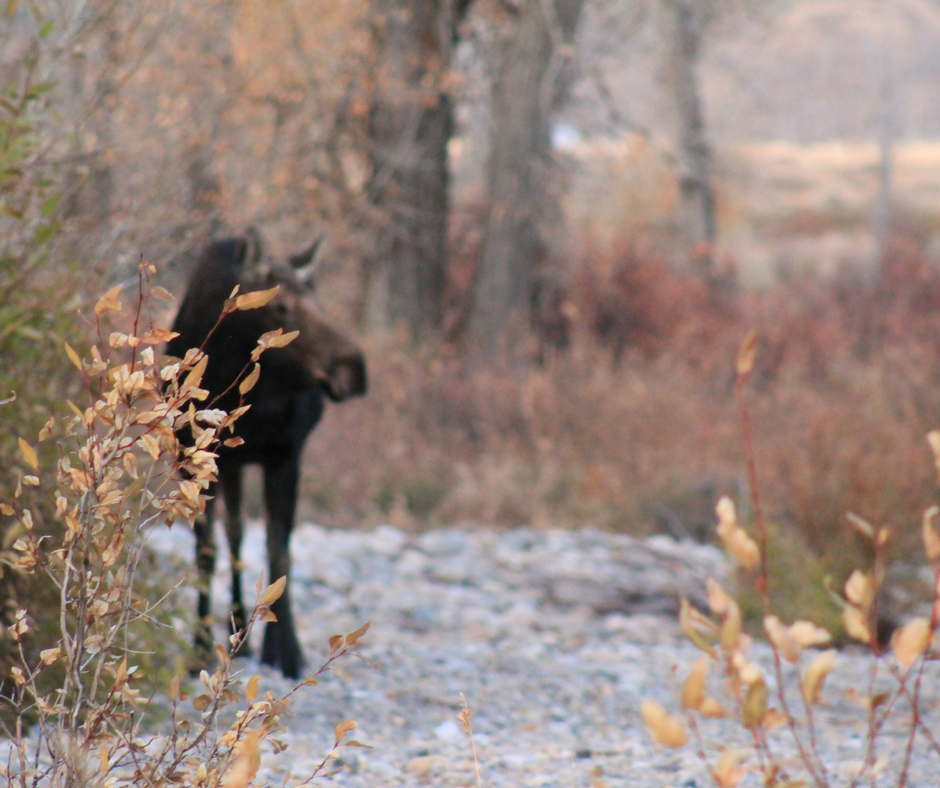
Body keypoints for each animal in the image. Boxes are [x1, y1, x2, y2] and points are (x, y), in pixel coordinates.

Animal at [166, 232, 367, 679]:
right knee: (234, 535)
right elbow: (207, 551)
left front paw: (286, 649)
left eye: (321, 303)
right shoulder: (195, 455)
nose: (355, 368)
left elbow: (279, 550)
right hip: (230, 465)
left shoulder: (286, 456)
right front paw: (200, 646)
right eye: (281, 307)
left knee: (241, 535)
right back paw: (236, 626)